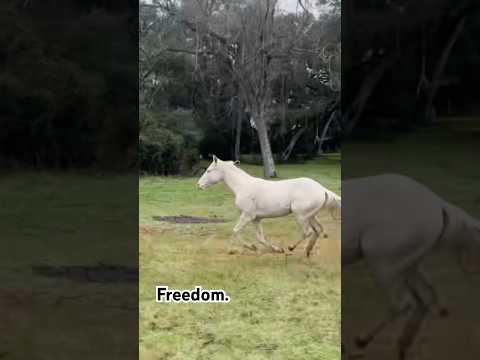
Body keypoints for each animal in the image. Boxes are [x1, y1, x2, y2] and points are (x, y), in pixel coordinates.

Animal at [196, 156, 342, 255]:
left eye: (208, 170)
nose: (199, 185)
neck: (242, 186)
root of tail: (322, 189)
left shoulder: (247, 215)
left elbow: (236, 230)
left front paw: (235, 250)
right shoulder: (256, 218)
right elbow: (260, 237)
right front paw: (276, 249)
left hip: (301, 216)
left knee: (309, 231)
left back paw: (292, 247)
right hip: (310, 216)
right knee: (318, 230)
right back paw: (307, 251)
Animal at [344, 174, 478, 358]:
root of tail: (437, 203)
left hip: (383, 263)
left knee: (402, 303)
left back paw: (363, 341)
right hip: (409, 264)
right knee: (425, 297)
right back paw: (403, 345)